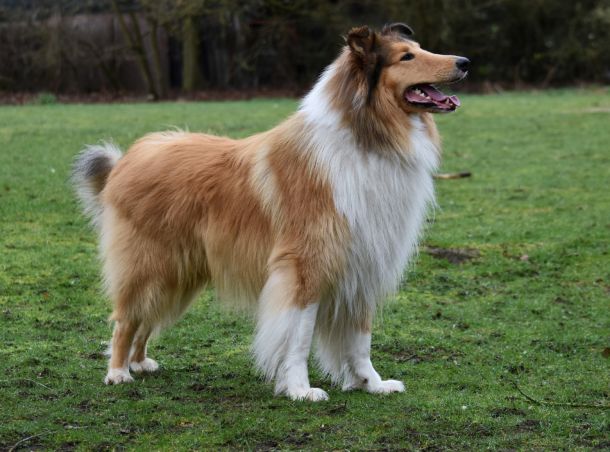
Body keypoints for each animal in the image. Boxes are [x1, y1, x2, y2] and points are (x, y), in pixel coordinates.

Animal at [73, 23, 469, 401]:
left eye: (418, 49)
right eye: (406, 56)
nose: (464, 62)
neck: (367, 139)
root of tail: (128, 158)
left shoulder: (362, 268)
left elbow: (360, 341)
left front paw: (371, 383)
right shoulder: (305, 268)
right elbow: (299, 338)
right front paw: (300, 390)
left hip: (178, 276)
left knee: (145, 320)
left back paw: (140, 363)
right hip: (149, 268)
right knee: (126, 320)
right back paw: (118, 372)